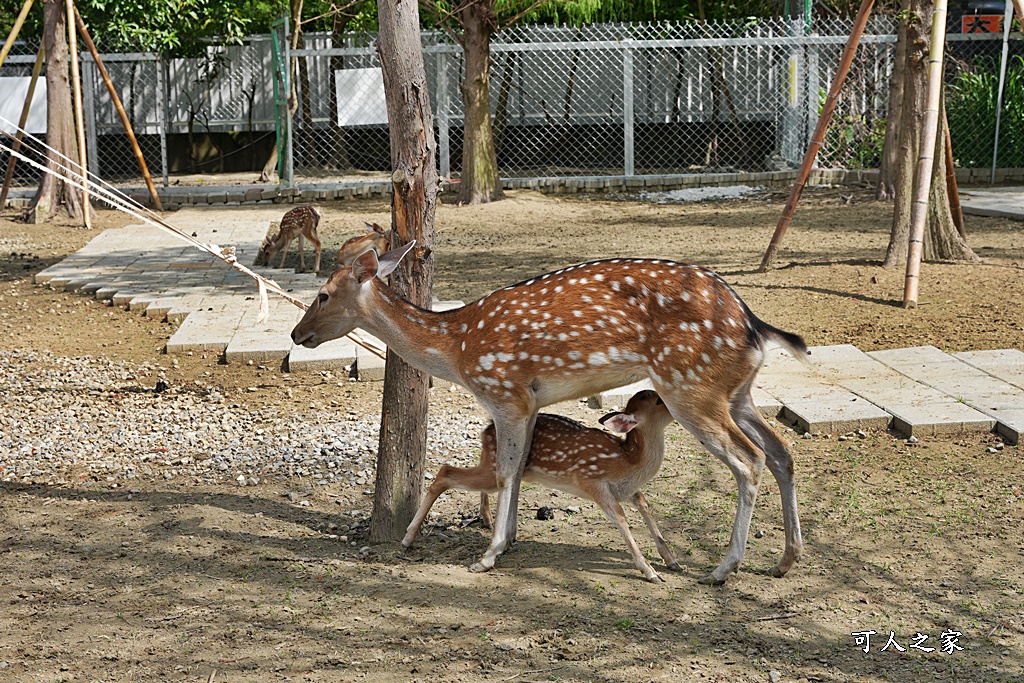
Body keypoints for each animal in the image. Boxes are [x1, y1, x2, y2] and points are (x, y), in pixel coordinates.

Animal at [403, 389, 684, 581]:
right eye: (658, 401)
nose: (678, 402)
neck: (628, 461)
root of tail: (487, 429)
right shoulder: (591, 480)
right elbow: (620, 517)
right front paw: (649, 571)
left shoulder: (628, 490)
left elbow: (645, 506)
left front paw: (673, 561)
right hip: (491, 466)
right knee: (445, 471)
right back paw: (408, 537)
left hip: (492, 464)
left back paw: (487, 520)